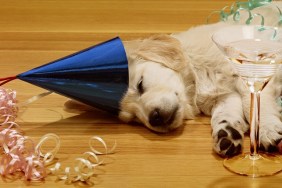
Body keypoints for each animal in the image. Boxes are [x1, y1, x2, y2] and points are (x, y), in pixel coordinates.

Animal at [118, 2, 282, 156]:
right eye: (133, 119)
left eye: (140, 85)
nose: (154, 118)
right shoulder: (222, 96)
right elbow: (224, 112)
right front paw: (227, 133)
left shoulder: (253, 69)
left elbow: (253, 104)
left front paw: (267, 129)